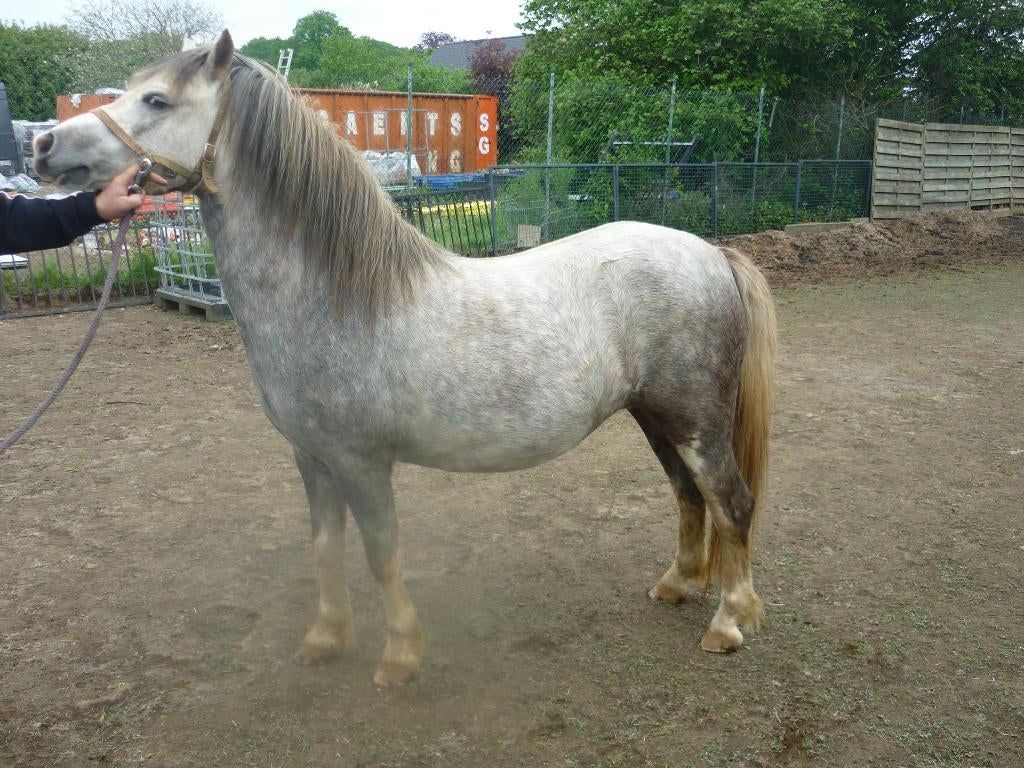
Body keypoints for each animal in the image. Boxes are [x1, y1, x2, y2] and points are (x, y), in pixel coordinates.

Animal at [33, 31, 777, 685]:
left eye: (157, 100)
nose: (44, 145)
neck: (334, 295)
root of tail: (712, 253)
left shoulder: (363, 462)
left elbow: (381, 555)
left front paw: (398, 658)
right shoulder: (312, 457)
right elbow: (326, 549)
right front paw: (326, 639)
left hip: (697, 422)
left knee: (731, 502)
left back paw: (729, 623)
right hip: (655, 417)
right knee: (689, 496)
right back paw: (676, 586)